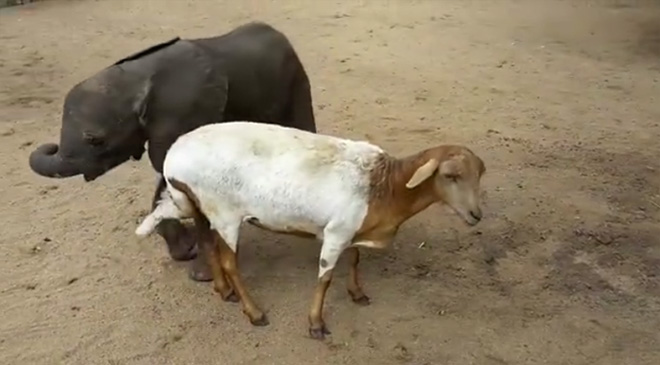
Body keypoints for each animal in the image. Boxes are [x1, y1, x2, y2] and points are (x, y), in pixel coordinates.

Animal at [135, 121, 484, 340]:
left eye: (478, 175)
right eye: (451, 176)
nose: (476, 215)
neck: (386, 187)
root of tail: (173, 158)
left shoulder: (350, 229)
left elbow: (355, 260)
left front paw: (357, 293)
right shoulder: (335, 233)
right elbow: (325, 278)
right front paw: (316, 324)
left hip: (201, 207)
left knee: (208, 245)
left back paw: (224, 291)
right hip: (225, 212)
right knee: (230, 262)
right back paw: (254, 311)